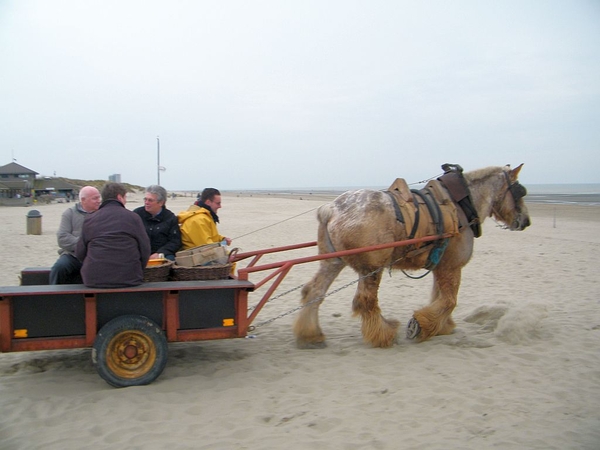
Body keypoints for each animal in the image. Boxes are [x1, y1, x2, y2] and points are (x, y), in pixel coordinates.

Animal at [292, 164, 532, 348]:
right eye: (520, 191)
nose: (526, 221)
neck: (460, 206)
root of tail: (331, 208)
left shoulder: (441, 267)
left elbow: (438, 297)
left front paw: (440, 325)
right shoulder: (452, 266)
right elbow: (449, 301)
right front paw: (422, 326)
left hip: (334, 261)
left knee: (314, 291)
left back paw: (311, 334)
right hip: (372, 268)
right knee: (365, 301)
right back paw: (383, 334)